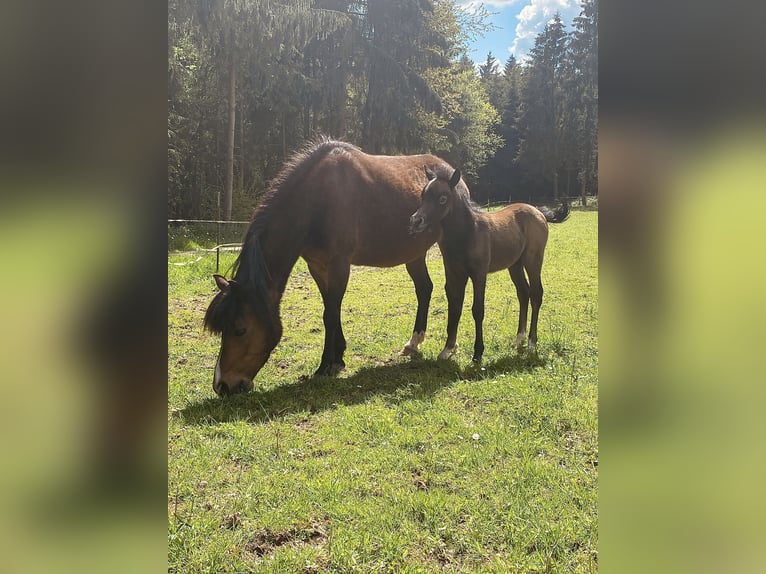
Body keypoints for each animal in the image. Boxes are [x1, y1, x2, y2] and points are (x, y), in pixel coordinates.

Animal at [204, 138, 464, 396]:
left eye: (240, 329)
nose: (222, 385)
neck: (317, 201)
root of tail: (451, 172)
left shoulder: (339, 263)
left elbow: (331, 313)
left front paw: (325, 366)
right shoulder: (317, 266)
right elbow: (329, 308)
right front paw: (338, 358)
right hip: (414, 254)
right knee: (424, 289)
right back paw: (413, 343)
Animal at [412, 166, 568, 362]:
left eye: (442, 198)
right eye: (423, 195)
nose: (415, 221)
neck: (467, 233)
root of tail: (538, 211)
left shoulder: (479, 274)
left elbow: (478, 310)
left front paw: (478, 353)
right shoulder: (454, 273)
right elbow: (455, 306)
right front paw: (447, 349)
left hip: (533, 259)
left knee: (536, 293)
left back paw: (532, 343)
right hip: (515, 264)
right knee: (523, 292)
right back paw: (519, 338)